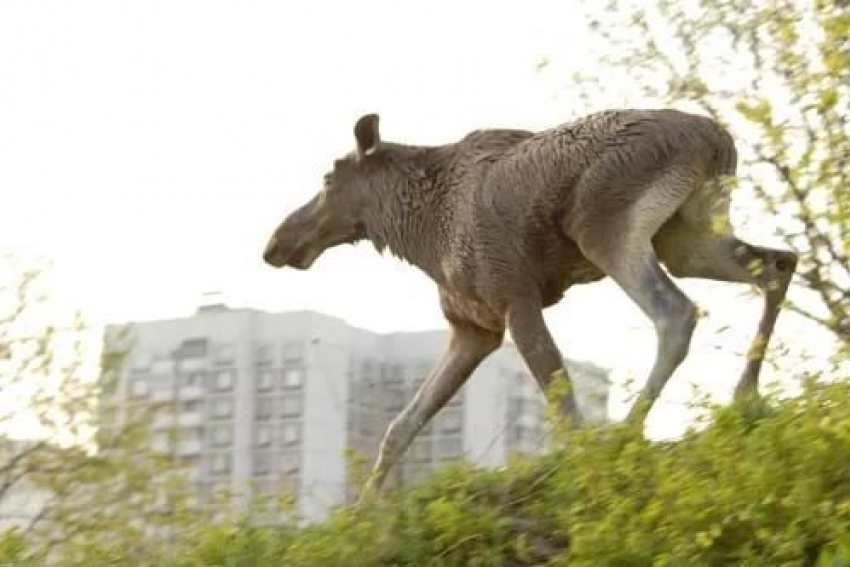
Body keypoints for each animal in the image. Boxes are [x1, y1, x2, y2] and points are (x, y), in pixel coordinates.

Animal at [264, 110, 796, 492]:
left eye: (328, 178)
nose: (276, 243)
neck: (417, 232)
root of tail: (716, 140)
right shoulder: (474, 330)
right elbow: (401, 426)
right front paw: (363, 511)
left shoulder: (515, 300)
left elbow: (563, 404)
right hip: (686, 239)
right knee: (780, 263)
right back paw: (746, 394)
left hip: (607, 232)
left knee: (677, 312)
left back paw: (628, 431)